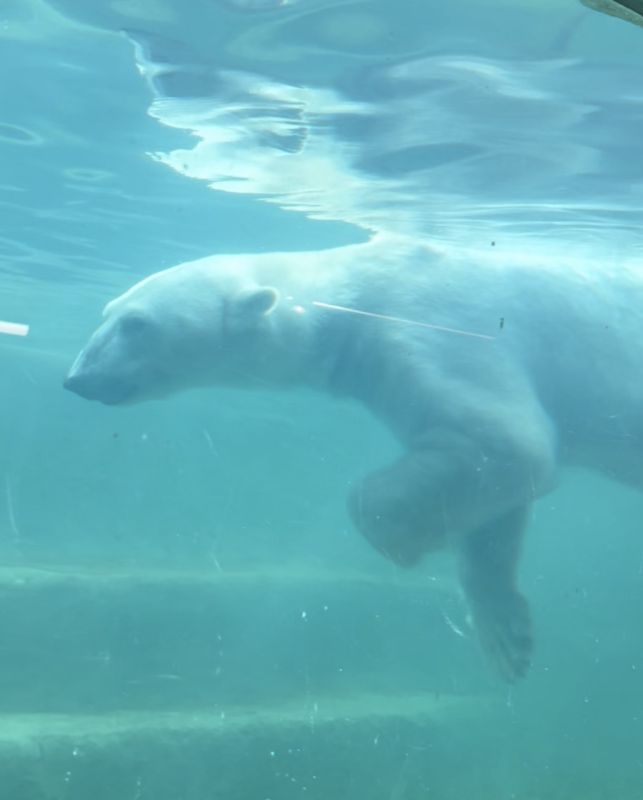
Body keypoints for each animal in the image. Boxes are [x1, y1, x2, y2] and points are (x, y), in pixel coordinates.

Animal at [64, 232, 642, 681]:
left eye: (137, 324)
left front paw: (403, 541)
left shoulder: (439, 325)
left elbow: (510, 439)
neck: (353, 292)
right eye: (108, 312)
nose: (78, 378)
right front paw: (506, 636)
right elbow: (495, 493)